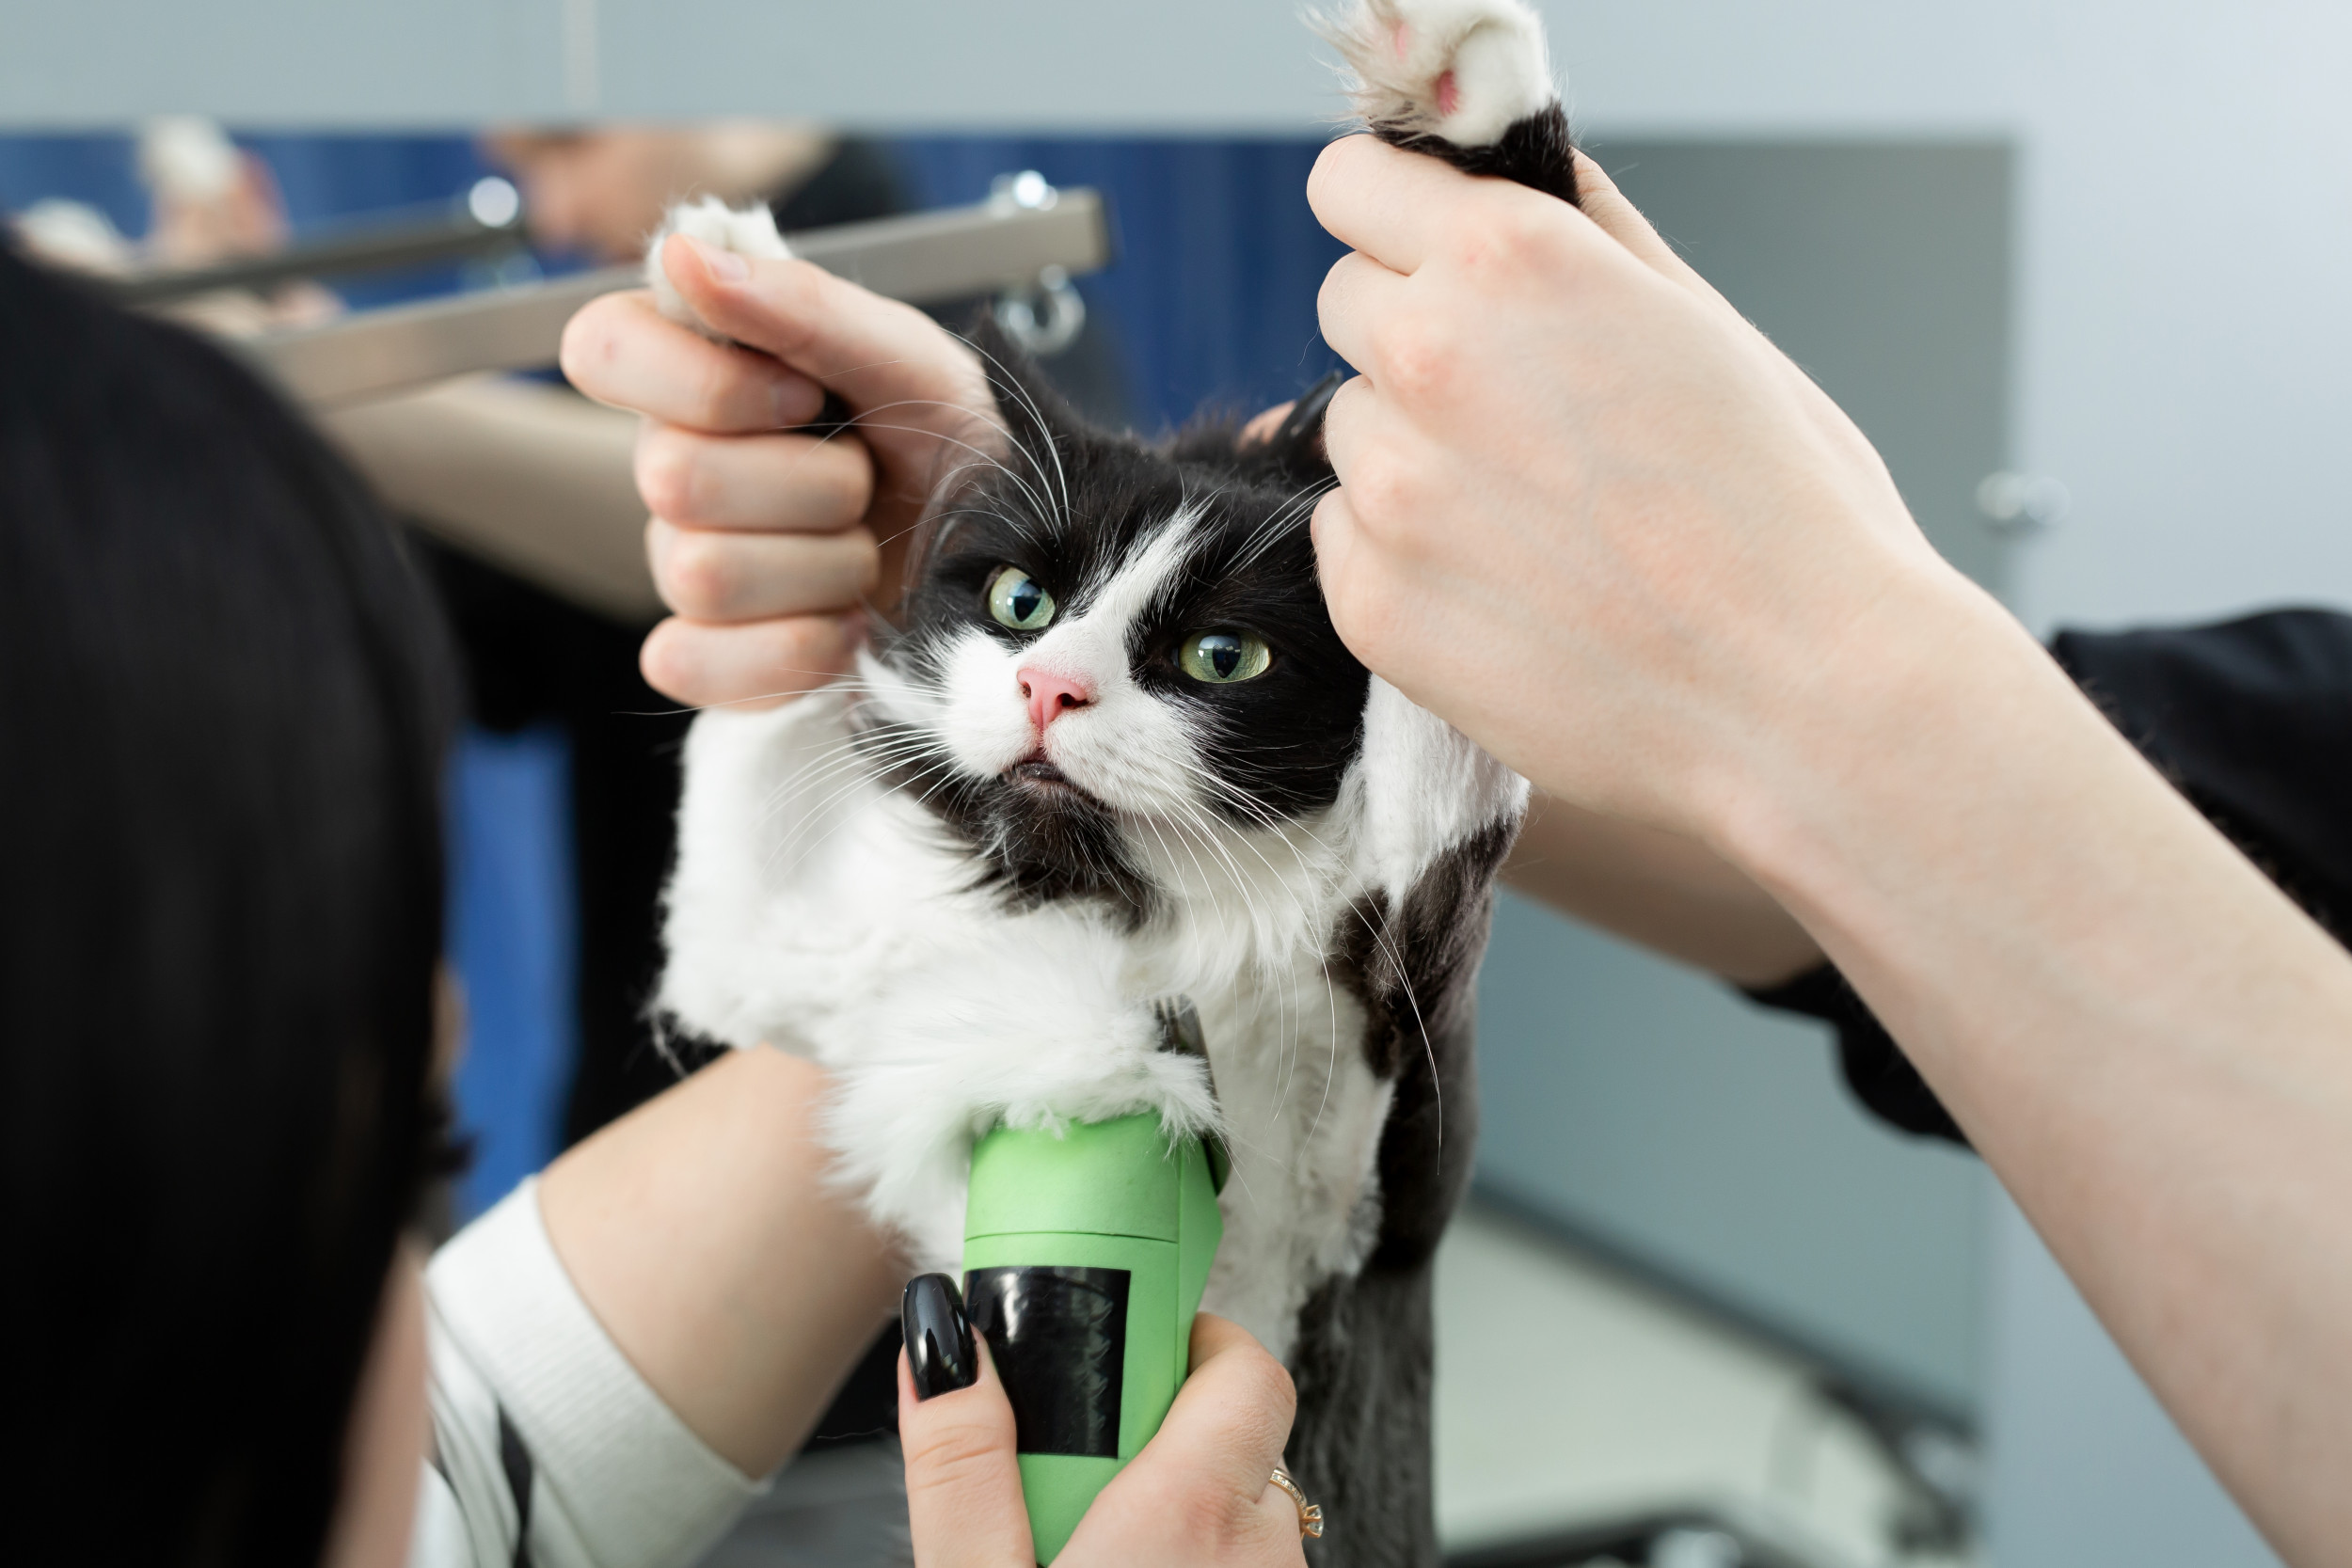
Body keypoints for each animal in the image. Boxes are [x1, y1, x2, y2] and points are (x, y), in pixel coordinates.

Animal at [654, 6, 1590, 1560]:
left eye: (1223, 654)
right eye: (1022, 603)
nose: (1050, 687)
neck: (1112, 902)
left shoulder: (1366, 1135)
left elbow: (1439, 719)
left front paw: (1455, 70)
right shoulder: (795, 958)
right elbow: (760, 717)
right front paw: (735, 286)